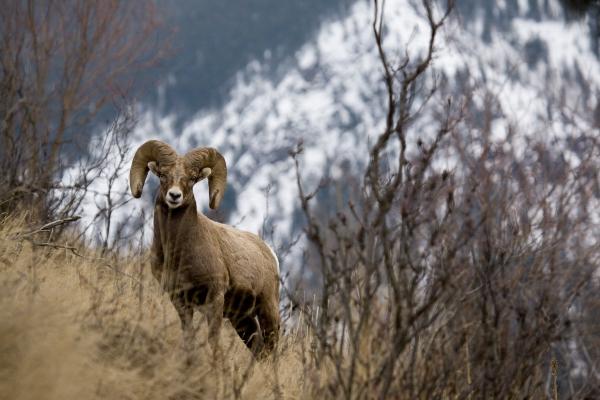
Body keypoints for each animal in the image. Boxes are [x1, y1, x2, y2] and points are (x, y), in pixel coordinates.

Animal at [129, 141, 278, 356]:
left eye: (192, 179)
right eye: (163, 175)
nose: (174, 196)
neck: (178, 252)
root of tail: (269, 252)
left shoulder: (215, 299)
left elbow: (213, 340)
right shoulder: (180, 301)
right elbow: (189, 336)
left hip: (267, 308)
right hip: (241, 318)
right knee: (257, 345)